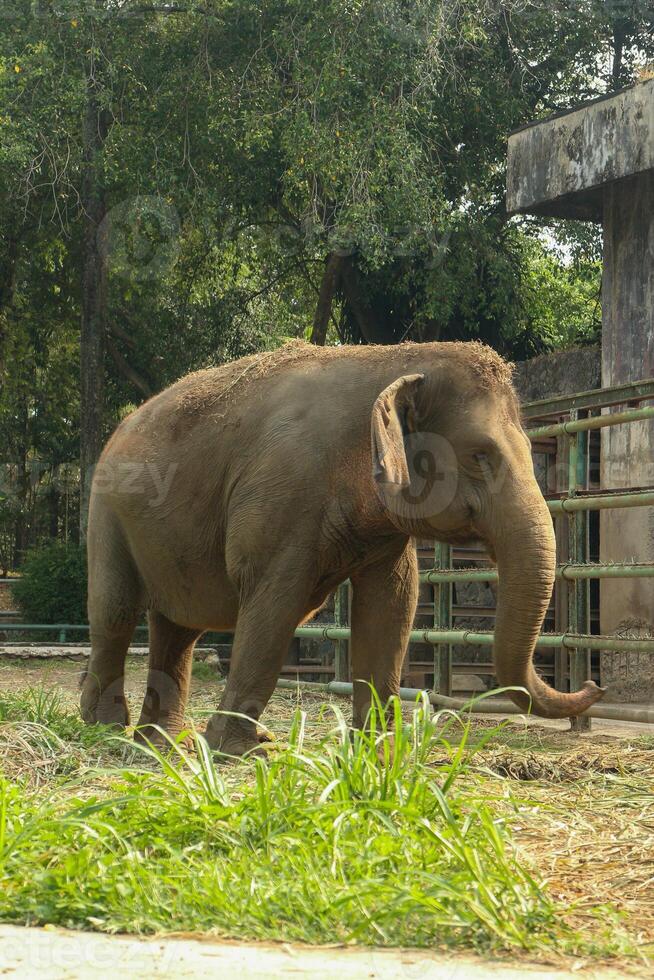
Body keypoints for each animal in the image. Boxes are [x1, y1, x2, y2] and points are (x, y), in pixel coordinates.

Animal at [81, 340, 604, 754]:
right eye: (481, 455)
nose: (593, 685)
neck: (393, 358)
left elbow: (393, 606)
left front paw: (381, 752)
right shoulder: (281, 494)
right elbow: (273, 606)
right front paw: (244, 751)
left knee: (178, 629)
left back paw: (165, 742)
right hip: (106, 513)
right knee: (115, 613)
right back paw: (106, 728)